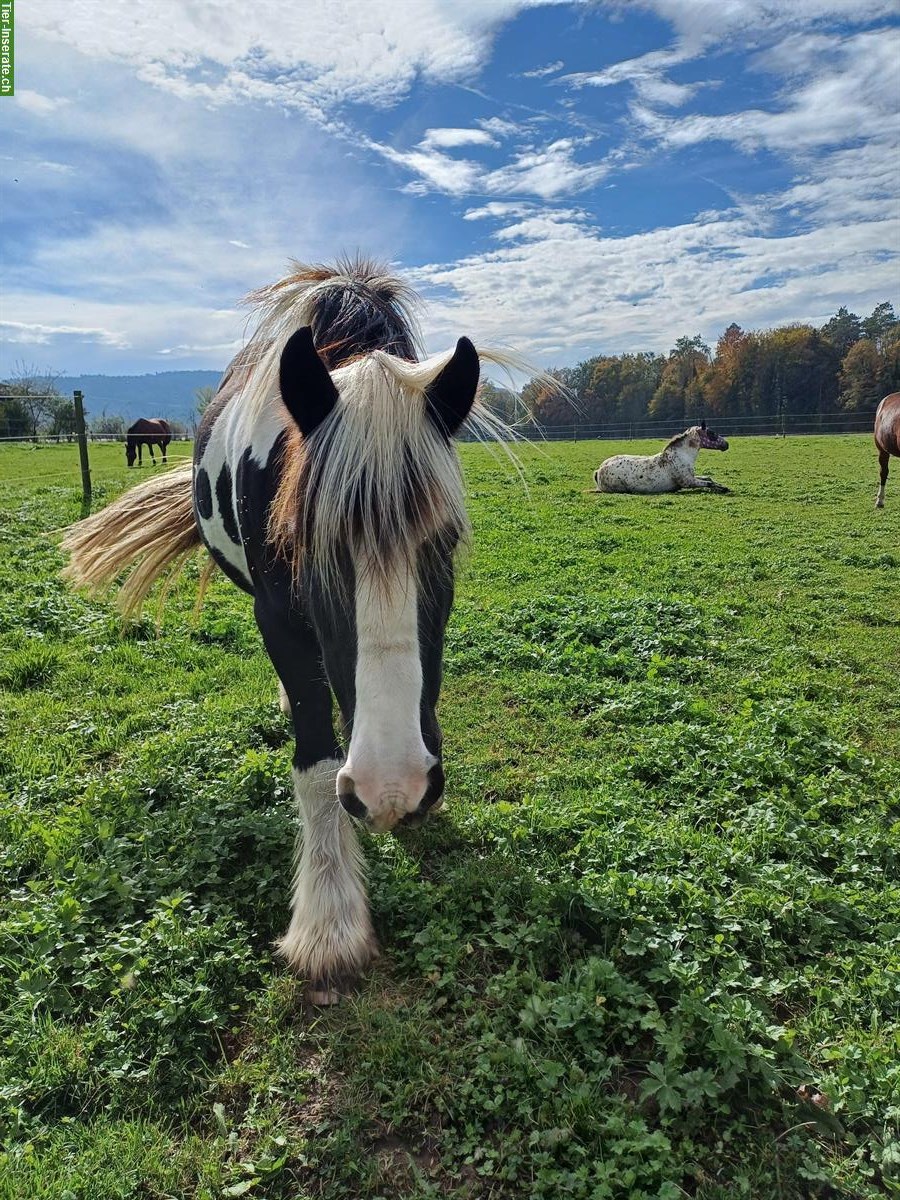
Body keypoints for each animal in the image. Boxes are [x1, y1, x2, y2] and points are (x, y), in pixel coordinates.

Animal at [61, 260, 528, 1003]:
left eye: (447, 540)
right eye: (310, 543)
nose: (394, 787)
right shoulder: (277, 615)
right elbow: (315, 762)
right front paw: (329, 923)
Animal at [592, 424, 734, 494]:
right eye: (712, 433)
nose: (726, 444)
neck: (681, 456)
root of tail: (598, 471)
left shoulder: (692, 477)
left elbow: (709, 478)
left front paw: (723, 486)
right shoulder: (688, 482)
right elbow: (709, 483)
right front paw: (724, 489)